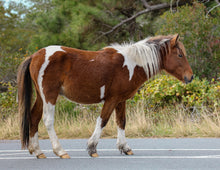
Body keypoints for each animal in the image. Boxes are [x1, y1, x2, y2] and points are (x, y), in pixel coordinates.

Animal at [17, 33, 192, 159]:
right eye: (180, 55)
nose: (190, 77)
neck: (131, 64)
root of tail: (35, 56)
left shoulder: (121, 101)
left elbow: (121, 122)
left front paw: (125, 147)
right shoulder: (111, 99)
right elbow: (103, 121)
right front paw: (92, 148)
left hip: (41, 97)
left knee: (34, 118)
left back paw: (38, 151)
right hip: (49, 95)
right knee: (48, 120)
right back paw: (60, 151)